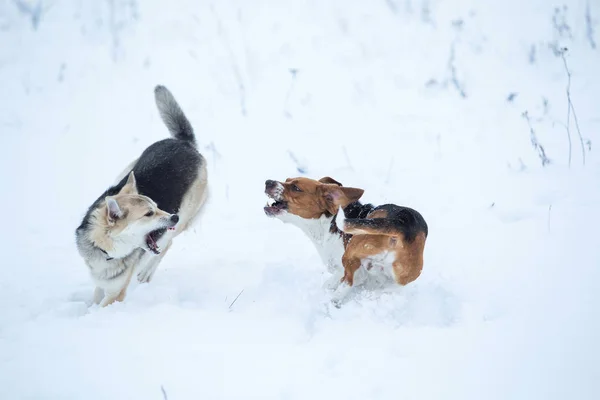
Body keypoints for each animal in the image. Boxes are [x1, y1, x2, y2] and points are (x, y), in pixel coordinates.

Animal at [76, 86, 207, 306]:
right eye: (148, 213)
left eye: (156, 206)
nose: (174, 216)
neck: (105, 249)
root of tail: (184, 143)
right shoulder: (102, 284)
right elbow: (94, 301)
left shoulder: (116, 294)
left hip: (183, 218)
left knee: (167, 243)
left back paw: (146, 273)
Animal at [264, 177, 426, 304]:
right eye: (287, 179)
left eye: (296, 188)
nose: (268, 182)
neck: (328, 223)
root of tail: (402, 223)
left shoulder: (342, 267)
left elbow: (333, 281)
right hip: (403, 277)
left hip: (351, 253)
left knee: (348, 282)